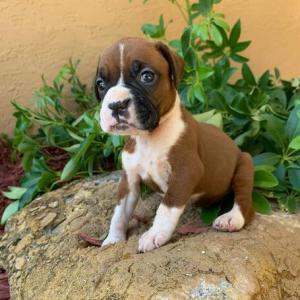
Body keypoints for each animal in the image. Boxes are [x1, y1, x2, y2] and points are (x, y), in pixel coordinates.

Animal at [95, 37, 254, 253]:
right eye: (101, 84)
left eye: (147, 76)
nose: (116, 104)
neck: (148, 138)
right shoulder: (129, 180)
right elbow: (120, 212)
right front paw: (113, 238)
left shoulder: (186, 171)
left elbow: (167, 206)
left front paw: (154, 234)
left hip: (245, 163)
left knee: (243, 198)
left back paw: (232, 218)